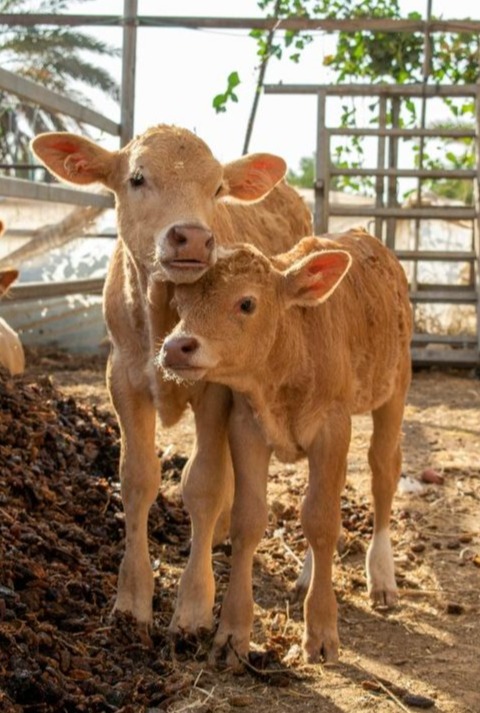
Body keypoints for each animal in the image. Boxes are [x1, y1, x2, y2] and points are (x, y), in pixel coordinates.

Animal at [30, 125, 313, 643]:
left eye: (217, 187)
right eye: (137, 177)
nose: (194, 237)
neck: (163, 311)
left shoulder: (217, 391)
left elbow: (202, 484)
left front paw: (194, 608)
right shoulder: (122, 379)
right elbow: (138, 478)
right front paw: (132, 600)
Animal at [160, 228, 412, 666]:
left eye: (246, 302)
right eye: (179, 304)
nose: (176, 347)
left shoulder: (333, 426)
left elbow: (322, 521)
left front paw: (322, 632)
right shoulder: (246, 426)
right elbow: (249, 521)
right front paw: (232, 634)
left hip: (395, 384)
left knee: (383, 470)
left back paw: (381, 574)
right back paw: (310, 574)